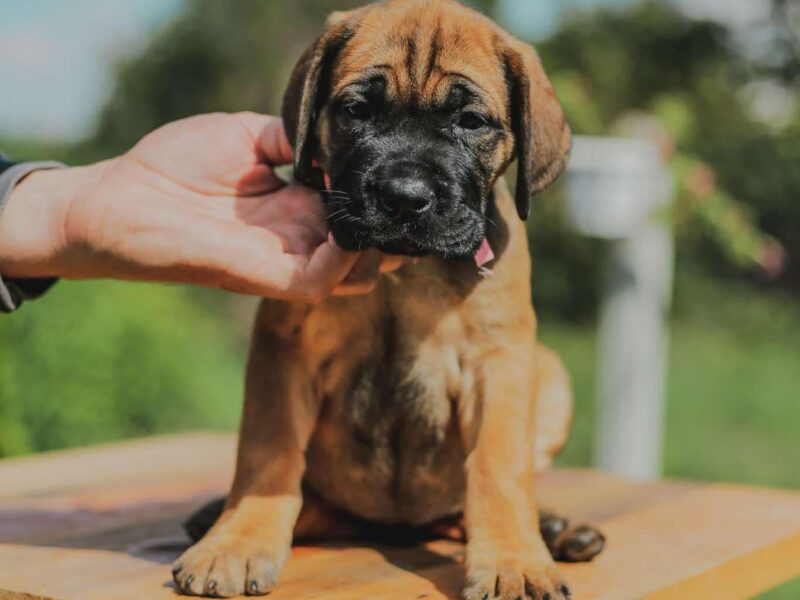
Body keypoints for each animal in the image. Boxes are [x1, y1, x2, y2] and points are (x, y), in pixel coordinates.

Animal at [172, 2, 604, 596]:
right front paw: (236, 541)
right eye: (357, 110)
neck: (406, 271)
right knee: (311, 500)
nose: (404, 197)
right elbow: (267, 455)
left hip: (551, 373)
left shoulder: (501, 360)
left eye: (471, 122)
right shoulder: (285, 349)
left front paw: (514, 560)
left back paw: (557, 528)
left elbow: (498, 466)